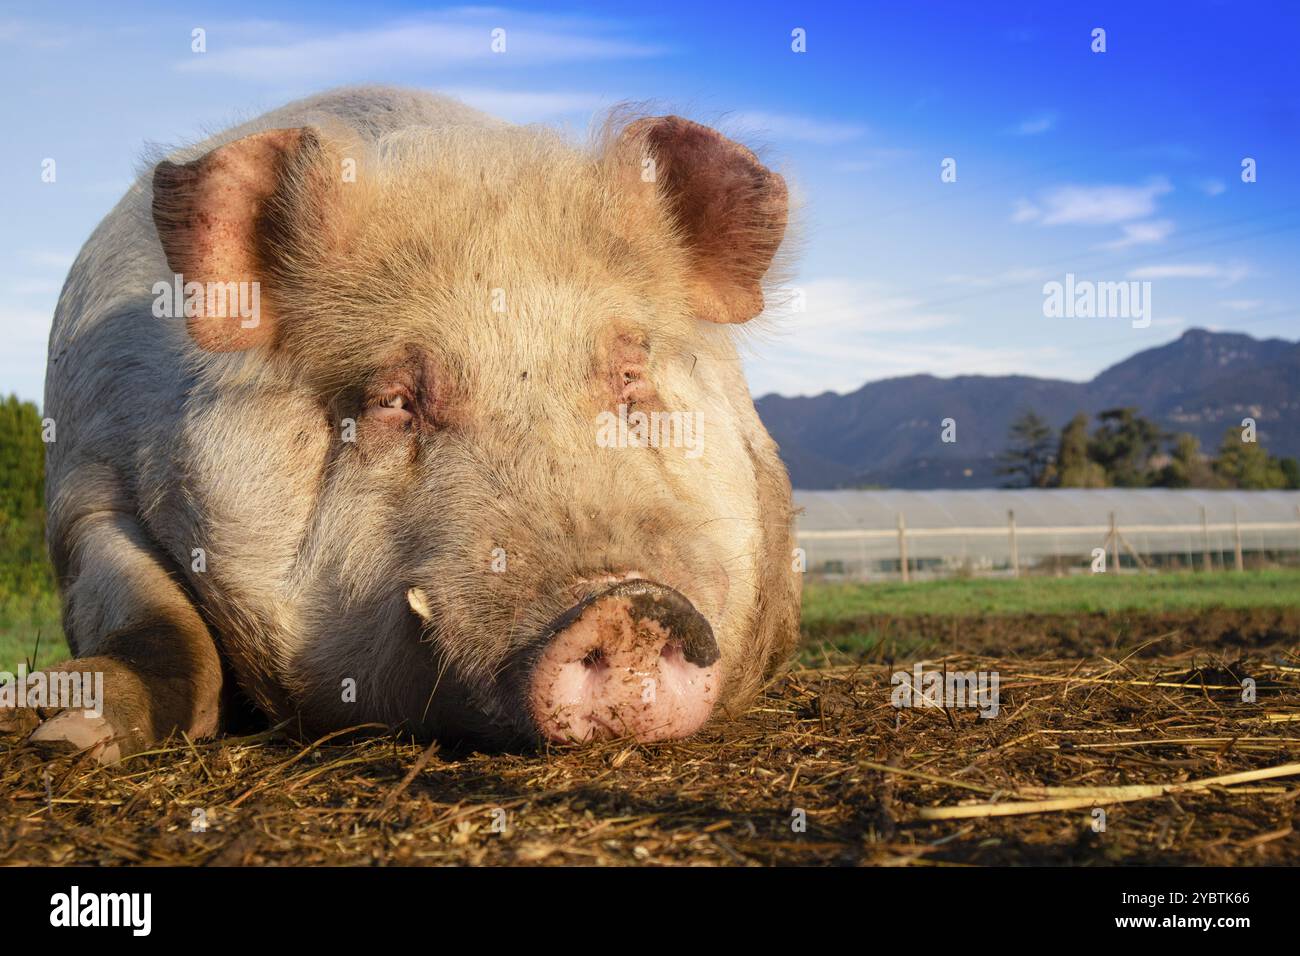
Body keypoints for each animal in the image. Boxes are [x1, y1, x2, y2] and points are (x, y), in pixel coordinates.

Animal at [22, 87, 800, 764]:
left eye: (632, 376)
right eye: (395, 400)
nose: (626, 601)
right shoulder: (86, 489)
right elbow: (161, 623)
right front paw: (64, 735)